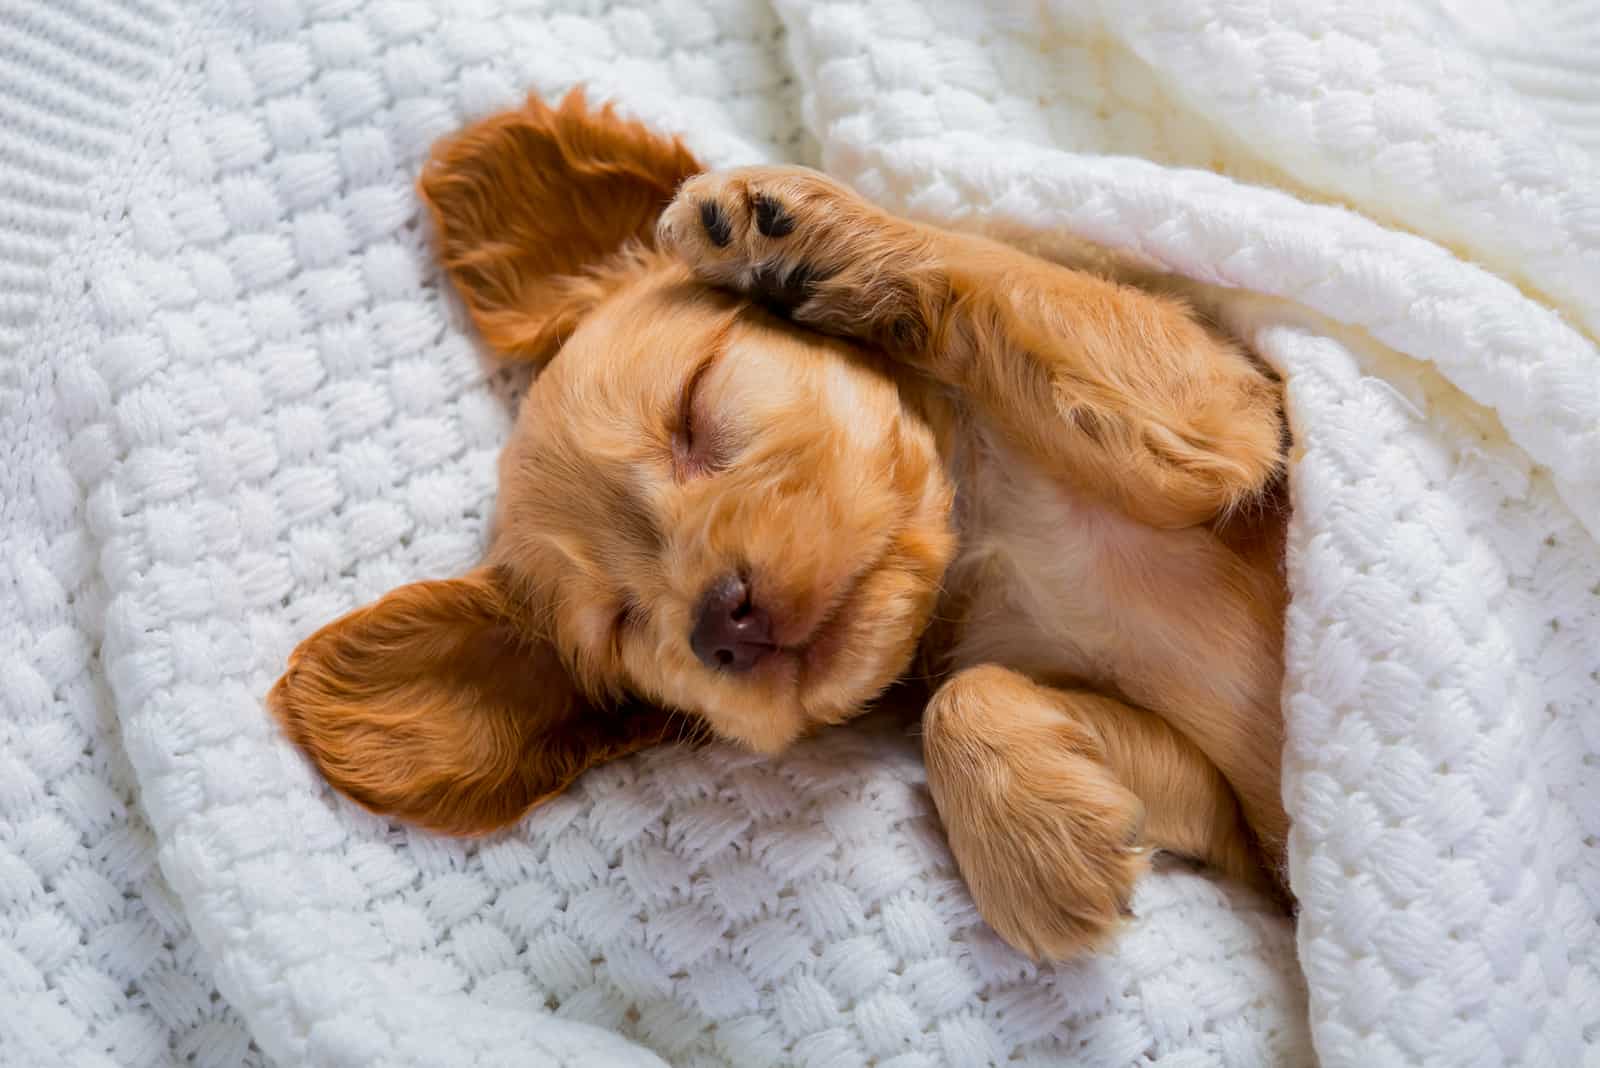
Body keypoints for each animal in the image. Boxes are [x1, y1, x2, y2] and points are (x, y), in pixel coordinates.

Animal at [268, 91, 1286, 959]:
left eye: (693, 411)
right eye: (623, 626)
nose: (722, 623)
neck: (987, 533)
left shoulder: (1221, 409)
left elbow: (994, 269)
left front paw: (803, 235)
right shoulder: (1246, 848)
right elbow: (970, 696)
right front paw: (1046, 840)